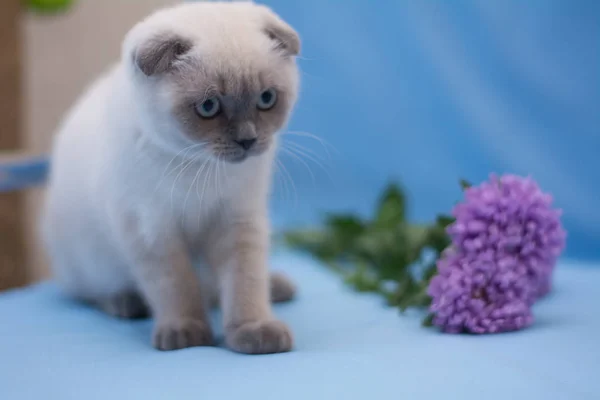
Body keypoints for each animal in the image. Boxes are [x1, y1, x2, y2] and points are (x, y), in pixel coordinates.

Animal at [43, 2, 300, 354]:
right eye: (208, 106)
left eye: (266, 99)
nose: (248, 140)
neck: (199, 167)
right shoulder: (152, 229)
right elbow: (176, 287)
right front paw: (185, 333)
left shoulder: (237, 219)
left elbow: (244, 281)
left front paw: (254, 330)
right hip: (89, 260)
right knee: (89, 293)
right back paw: (126, 303)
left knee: (223, 287)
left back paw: (278, 285)